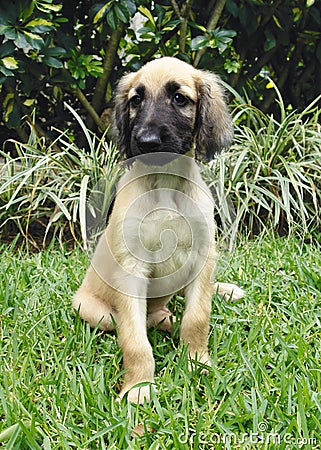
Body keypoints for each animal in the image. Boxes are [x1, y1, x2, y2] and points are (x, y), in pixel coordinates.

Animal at [72, 57, 242, 404]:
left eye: (180, 98)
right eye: (136, 100)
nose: (146, 142)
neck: (165, 185)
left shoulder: (203, 258)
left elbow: (197, 317)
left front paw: (197, 362)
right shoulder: (131, 269)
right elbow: (135, 340)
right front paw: (138, 388)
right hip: (94, 310)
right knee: (134, 321)